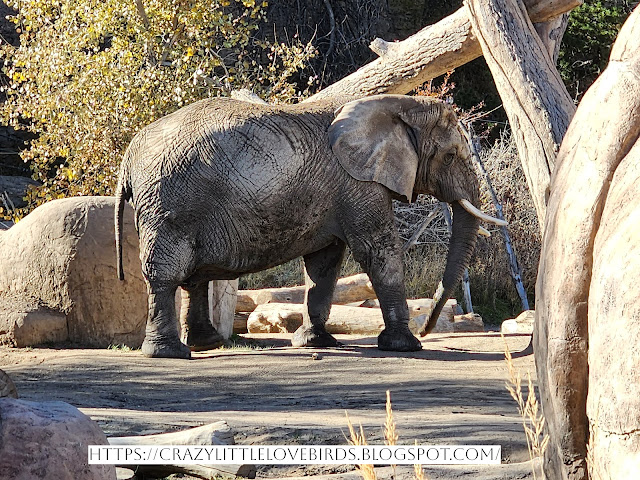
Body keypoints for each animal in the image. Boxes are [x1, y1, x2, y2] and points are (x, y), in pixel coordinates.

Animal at [115, 94, 504, 358]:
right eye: (450, 156)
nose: (427, 328)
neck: (397, 106)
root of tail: (129, 155)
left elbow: (324, 264)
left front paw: (316, 341)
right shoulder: (358, 183)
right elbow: (378, 251)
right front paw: (405, 346)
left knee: (194, 277)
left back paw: (206, 344)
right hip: (172, 203)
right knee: (166, 274)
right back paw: (169, 353)